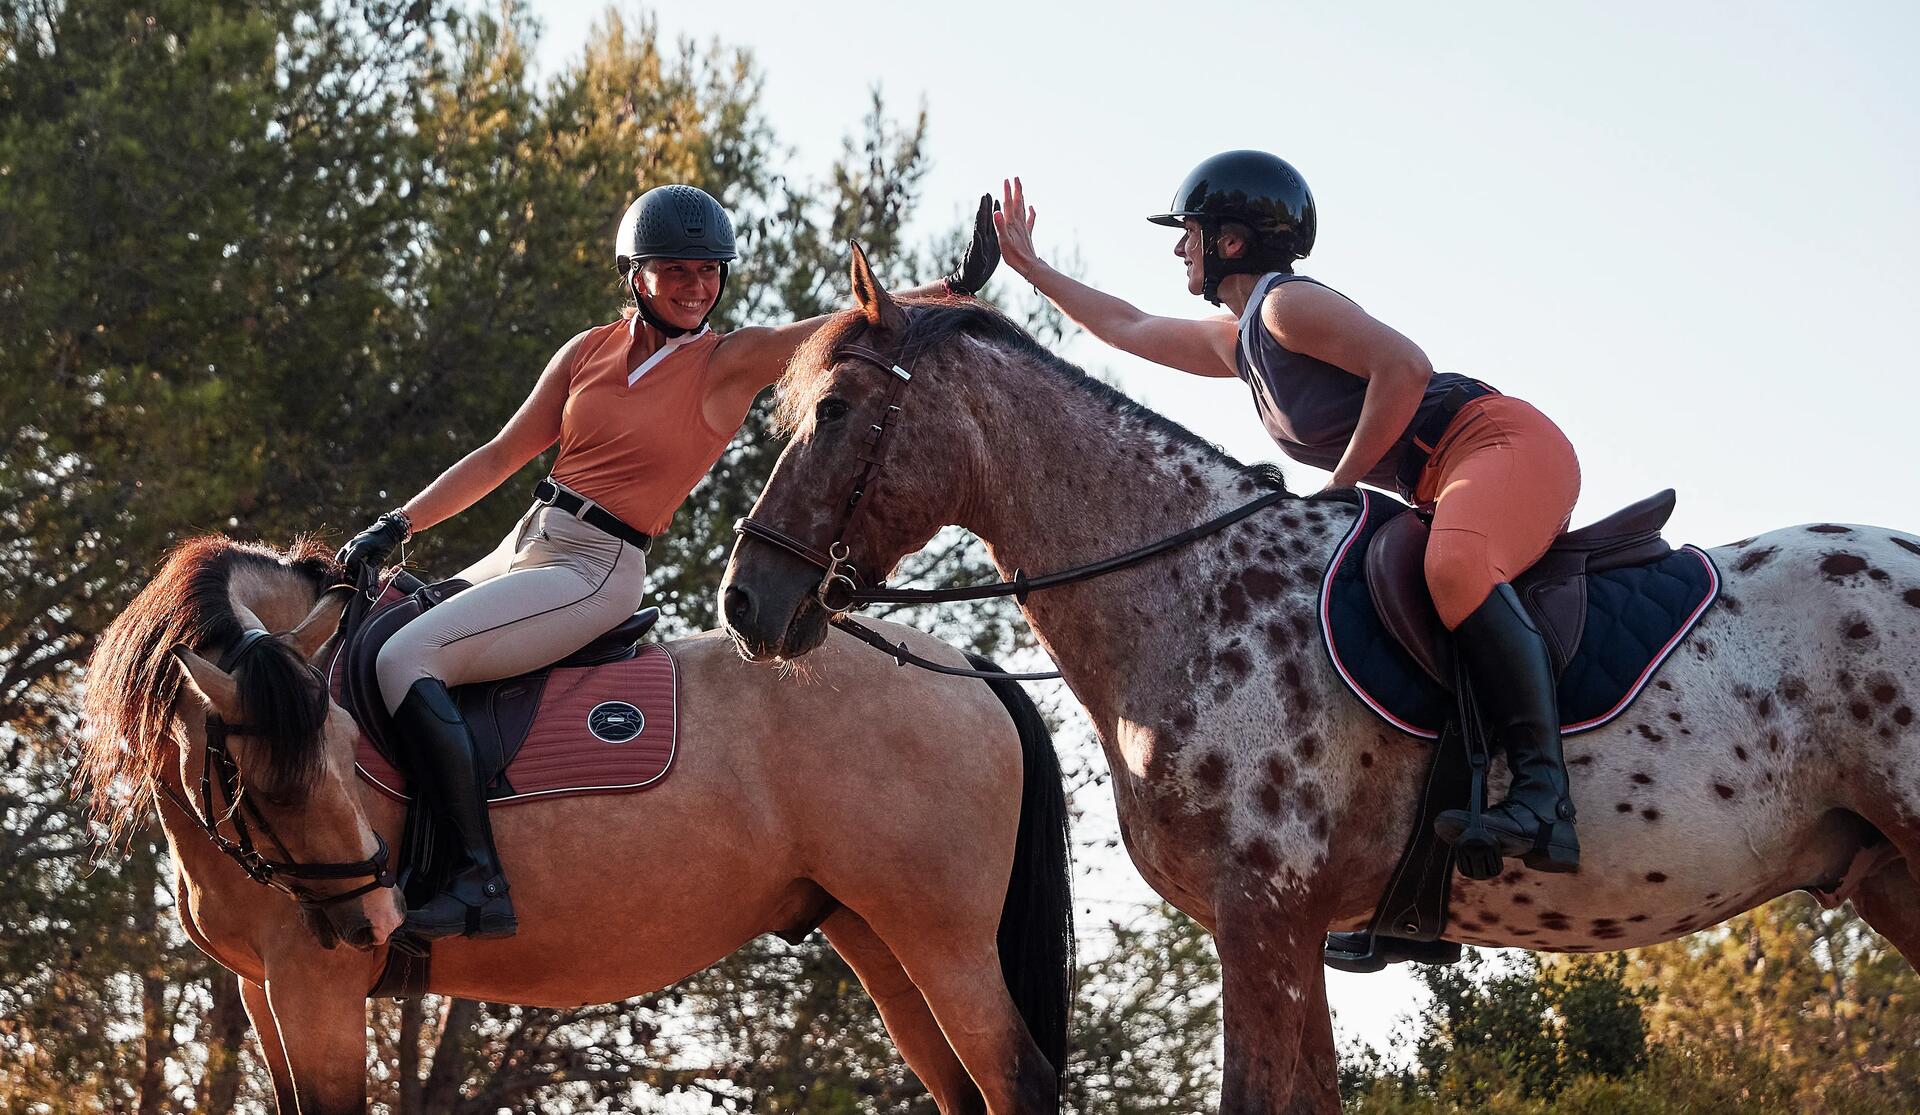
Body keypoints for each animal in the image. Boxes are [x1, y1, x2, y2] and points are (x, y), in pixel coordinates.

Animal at [82, 533, 1075, 1105]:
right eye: (267, 782)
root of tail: (969, 672)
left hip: (944, 939)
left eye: (342, 744)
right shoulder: (263, 988)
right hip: (878, 934)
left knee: (1016, 1078)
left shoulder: (315, 984)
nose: (372, 916)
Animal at [721, 251, 1920, 1113]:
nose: (744, 603)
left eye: (833, 411)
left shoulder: (1260, 916)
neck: (1193, 584)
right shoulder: (1289, 930)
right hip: (1883, 873)